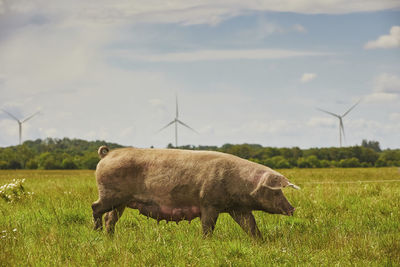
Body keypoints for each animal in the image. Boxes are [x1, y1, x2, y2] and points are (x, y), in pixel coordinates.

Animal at [92, 147, 300, 239]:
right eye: (276, 193)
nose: (292, 209)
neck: (241, 185)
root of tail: (107, 154)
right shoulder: (209, 203)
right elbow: (208, 225)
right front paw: (206, 241)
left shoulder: (238, 209)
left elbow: (250, 225)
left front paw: (260, 241)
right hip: (110, 194)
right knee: (95, 208)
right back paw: (97, 232)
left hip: (120, 202)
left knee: (110, 218)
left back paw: (110, 237)